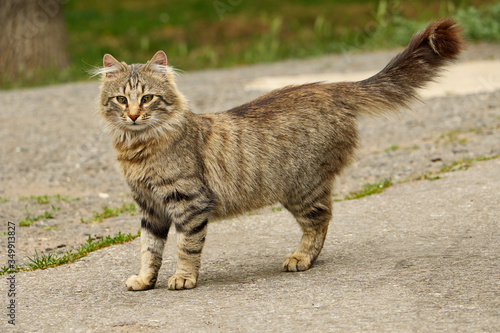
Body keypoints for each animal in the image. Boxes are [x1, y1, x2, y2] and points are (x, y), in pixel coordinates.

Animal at [95, 19, 462, 290]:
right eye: (121, 100)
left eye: (147, 98)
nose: (133, 116)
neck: (137, 149)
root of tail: (328, 88)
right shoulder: (150, 208)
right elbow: (149, 250)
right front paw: (145, 280)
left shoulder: (189, 202)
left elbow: (186, 247)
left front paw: (183, 278)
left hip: (301, 187)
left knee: (321, 220)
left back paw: (301, 258)